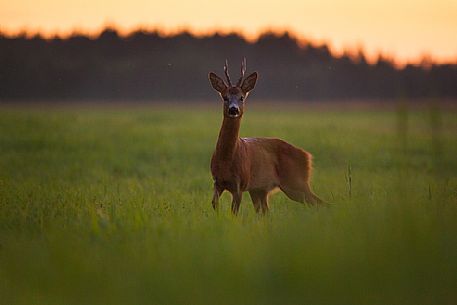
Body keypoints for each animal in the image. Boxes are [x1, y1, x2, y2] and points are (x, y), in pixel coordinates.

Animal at [208, 58, 322, 213]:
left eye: (241, 97)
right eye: (225, 97)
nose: (233, 109)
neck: (226, 160)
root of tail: (307, 156)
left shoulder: (240, 184)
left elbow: (234, 212)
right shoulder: (217, 181)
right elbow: (214, 205)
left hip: (296, 182)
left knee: (319, 202)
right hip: (261, 189)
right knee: (266, 212)